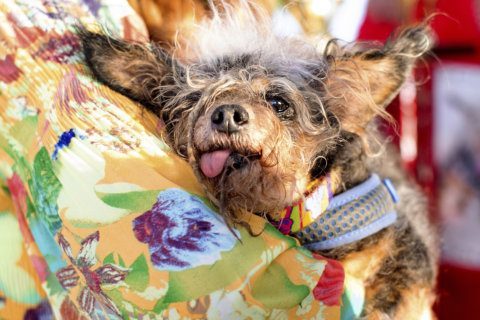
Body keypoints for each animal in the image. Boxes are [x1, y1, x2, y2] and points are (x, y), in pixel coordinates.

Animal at [78, 1, 438, 318]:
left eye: (278, 102)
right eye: (194, 102)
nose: (226, 114)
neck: (298, 215)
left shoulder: (410, 257)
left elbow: (394, 305)